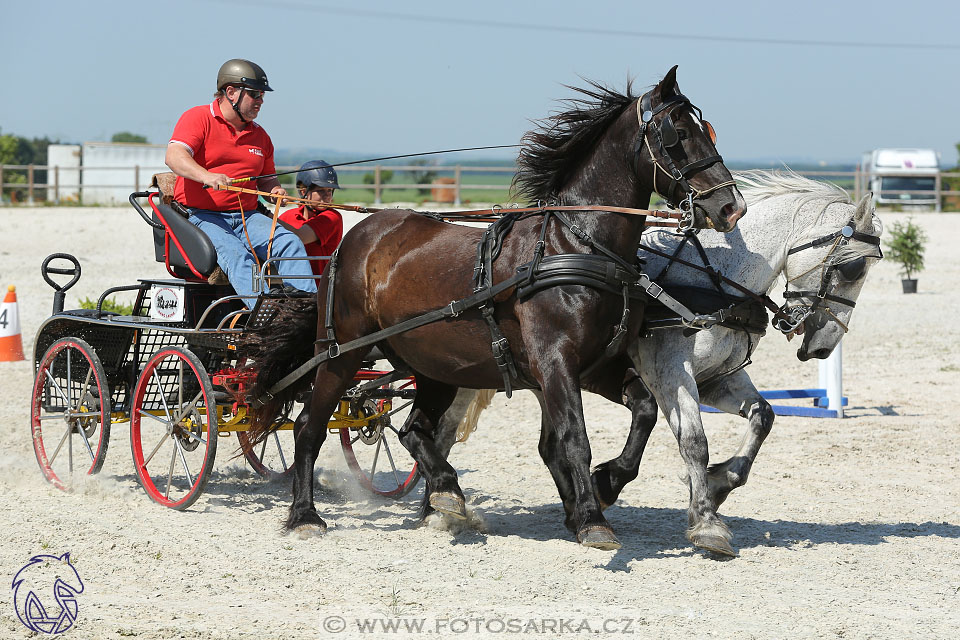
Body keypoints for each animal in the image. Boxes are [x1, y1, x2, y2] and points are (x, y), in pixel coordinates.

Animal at [244, 66, 748, 552]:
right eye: (677, 134)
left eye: (706, 130)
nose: (731, 207)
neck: (575, 245)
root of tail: (353, 240)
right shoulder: (556, 362)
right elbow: (574, 439)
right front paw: (592, 519)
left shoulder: (597, 366)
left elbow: (643, 412)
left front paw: (606, 484)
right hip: (342, 352)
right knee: (309, 426)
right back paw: (306, 516)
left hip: (434, 366)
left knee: (413, 430)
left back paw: (447, 493)